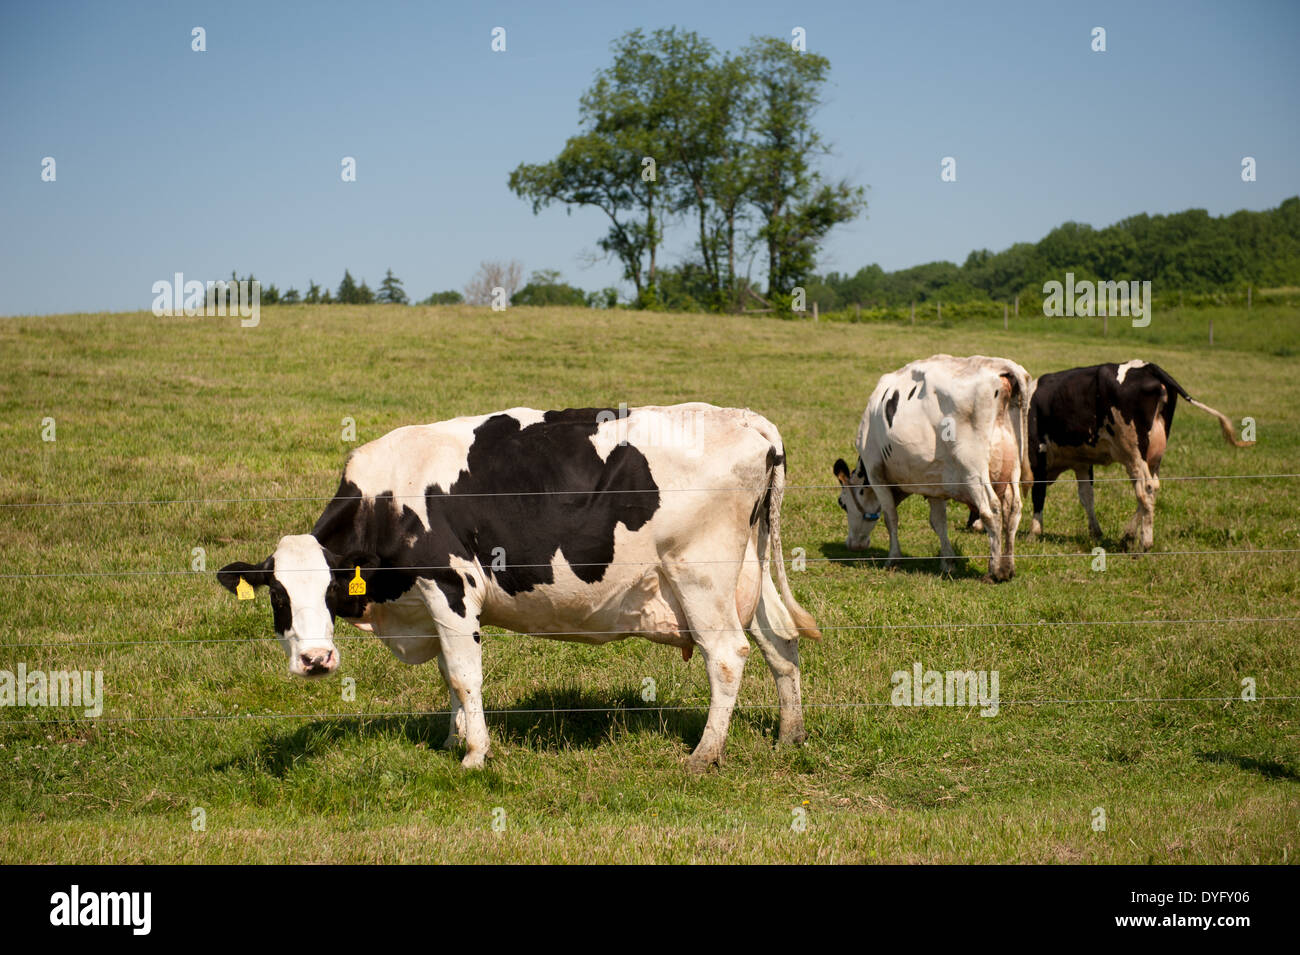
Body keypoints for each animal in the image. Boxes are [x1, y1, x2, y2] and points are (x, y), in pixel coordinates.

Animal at [832, 358, 1034, 582]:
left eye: (842, 503)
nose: (852, 544)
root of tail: (1001, 366)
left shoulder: (876, 473)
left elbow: (890, 517)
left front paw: (893, 559)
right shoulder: (935, 481)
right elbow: (938, 522)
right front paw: (948, 562)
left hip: (973, 469)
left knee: (991, 510)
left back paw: (995, 571)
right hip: (1012, 467)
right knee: (1013, 509)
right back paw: (1008, 567)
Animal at [1029, 361, 1253, 553]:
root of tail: (1148, 367)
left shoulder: (1038, 454)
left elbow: (1038, 493)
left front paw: (1034, 532)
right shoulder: (1082, 462)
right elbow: (1086, 496)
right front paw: (1095, 532)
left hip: (1133, 453)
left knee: (1145, 488)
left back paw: (1145, 543)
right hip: (1152, 456)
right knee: (1152, 488)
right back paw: (1129, 535)